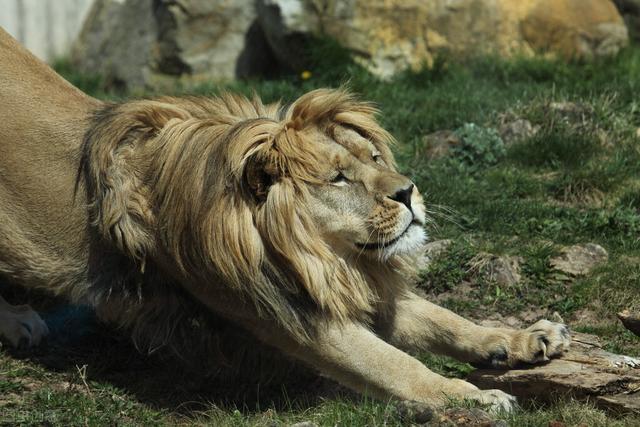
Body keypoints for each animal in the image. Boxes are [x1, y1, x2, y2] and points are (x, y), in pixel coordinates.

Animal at [0, 27, 568, 414]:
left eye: (374, 159)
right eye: (338, 178)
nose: (408, 192)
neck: (319, 258)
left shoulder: (352, 287)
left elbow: (443, 319)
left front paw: (524, 338)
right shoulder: (291, 313)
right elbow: (397, 365)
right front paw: (468, 397)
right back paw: (19, 322)